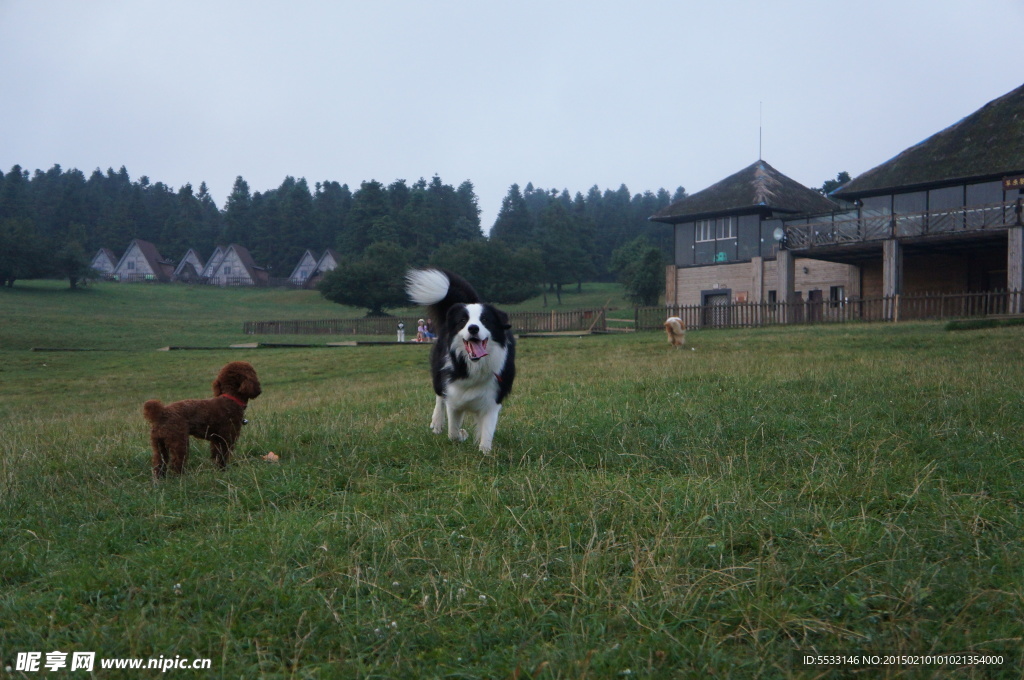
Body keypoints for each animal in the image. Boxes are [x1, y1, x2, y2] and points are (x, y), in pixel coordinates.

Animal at [405, 268, 516, 454]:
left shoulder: (493, 398)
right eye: (463, 321)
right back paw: (437, 423)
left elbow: (487, 432)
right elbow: (453, 432)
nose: (473, 328)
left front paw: (485, 452)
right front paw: (461, 435)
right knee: (439, 396)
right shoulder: (453, 396)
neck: (473, 365)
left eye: (485, 320)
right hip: (438, 372)